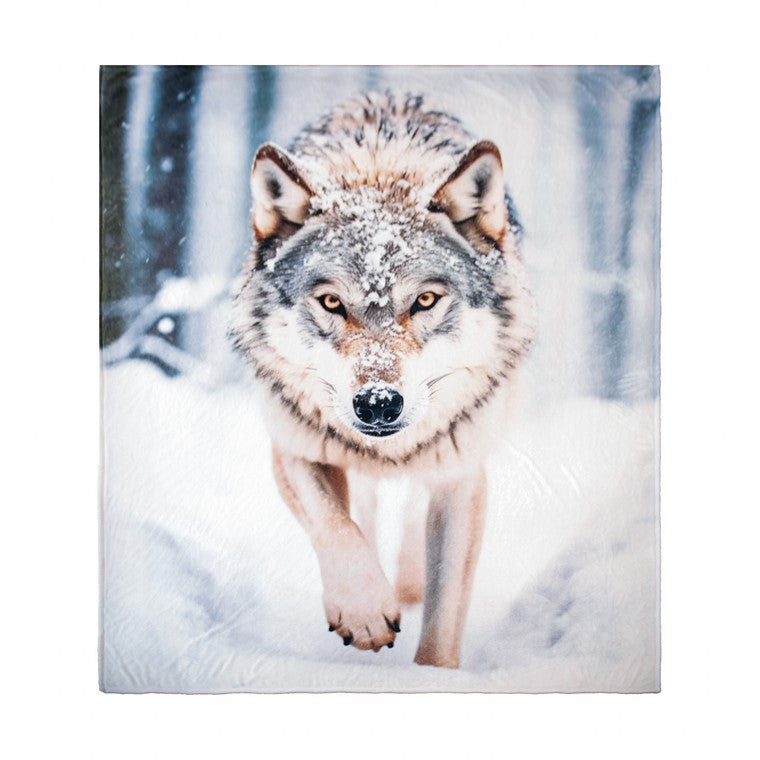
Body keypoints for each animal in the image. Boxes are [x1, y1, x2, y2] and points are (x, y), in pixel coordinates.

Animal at [231, 91, 534, 668]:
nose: (377, 403)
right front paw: (365, 613)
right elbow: (335, 525)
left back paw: (409, 584)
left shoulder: (462, 477)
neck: (379, 167)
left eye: (425, 300)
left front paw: (431, 672)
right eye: (331, 302)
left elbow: (443, 617)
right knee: (363, 510)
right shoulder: (295, 445)